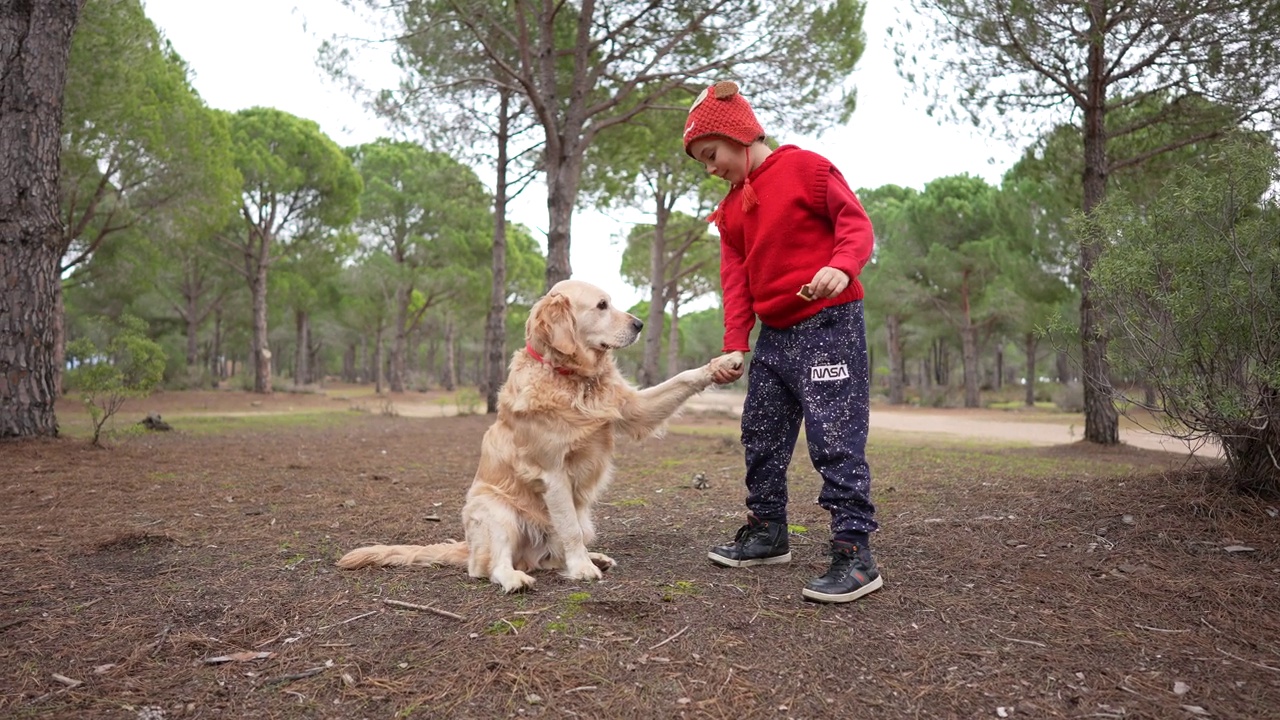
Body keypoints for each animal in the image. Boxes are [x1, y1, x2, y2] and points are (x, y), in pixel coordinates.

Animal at [337, 275, 742, 589]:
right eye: (601, 305)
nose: (639, 323)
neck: (570, 377)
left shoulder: (633, 408)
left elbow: (682, 378)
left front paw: (722, 363)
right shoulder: (553, 473)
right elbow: (568, 529)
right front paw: (581, 569)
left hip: (583, 516)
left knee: (549, 554)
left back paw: (591, 557)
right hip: (495, 511)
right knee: (488, 566)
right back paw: (518, 577)